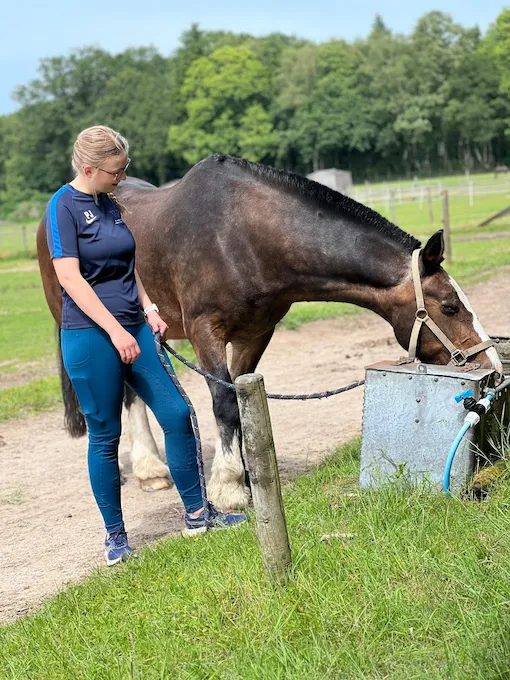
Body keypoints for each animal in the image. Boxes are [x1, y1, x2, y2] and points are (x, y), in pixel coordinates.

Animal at [37, 154, 502, 511]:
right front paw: (229, 490)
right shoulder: (206, 331)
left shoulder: (256, 334)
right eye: (450, 306)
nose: (493, 367)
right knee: (128, 394)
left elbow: (243, 400)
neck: (240, 234)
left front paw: (248, 475)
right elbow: (224, 403)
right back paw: (149, 467)